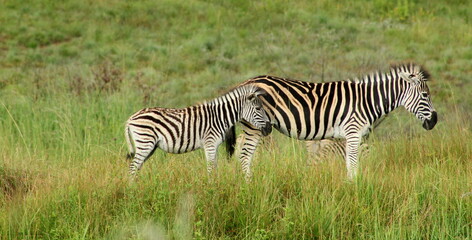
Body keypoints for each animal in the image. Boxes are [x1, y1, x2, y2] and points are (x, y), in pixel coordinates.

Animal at [125, 84, 272, 176]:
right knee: (133, 167)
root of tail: (131, 118)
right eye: (258, 108)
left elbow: (215, 167)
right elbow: (211, 168)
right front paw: (211, 189)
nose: (269, 128)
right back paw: (132, 190)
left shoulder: (214, 146)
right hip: (145, 142)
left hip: (150, 146)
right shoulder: (210, 143)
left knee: (137, 167)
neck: (220, 117)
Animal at [227, 62, 436, 179]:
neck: (367, 100)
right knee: (244, 156)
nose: (434, 121)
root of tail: (245, 82)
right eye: (425, 95)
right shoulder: (353, 132)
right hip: (254, 126)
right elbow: (353, 164)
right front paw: (354, 187)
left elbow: (348, 162)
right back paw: (249, 184)